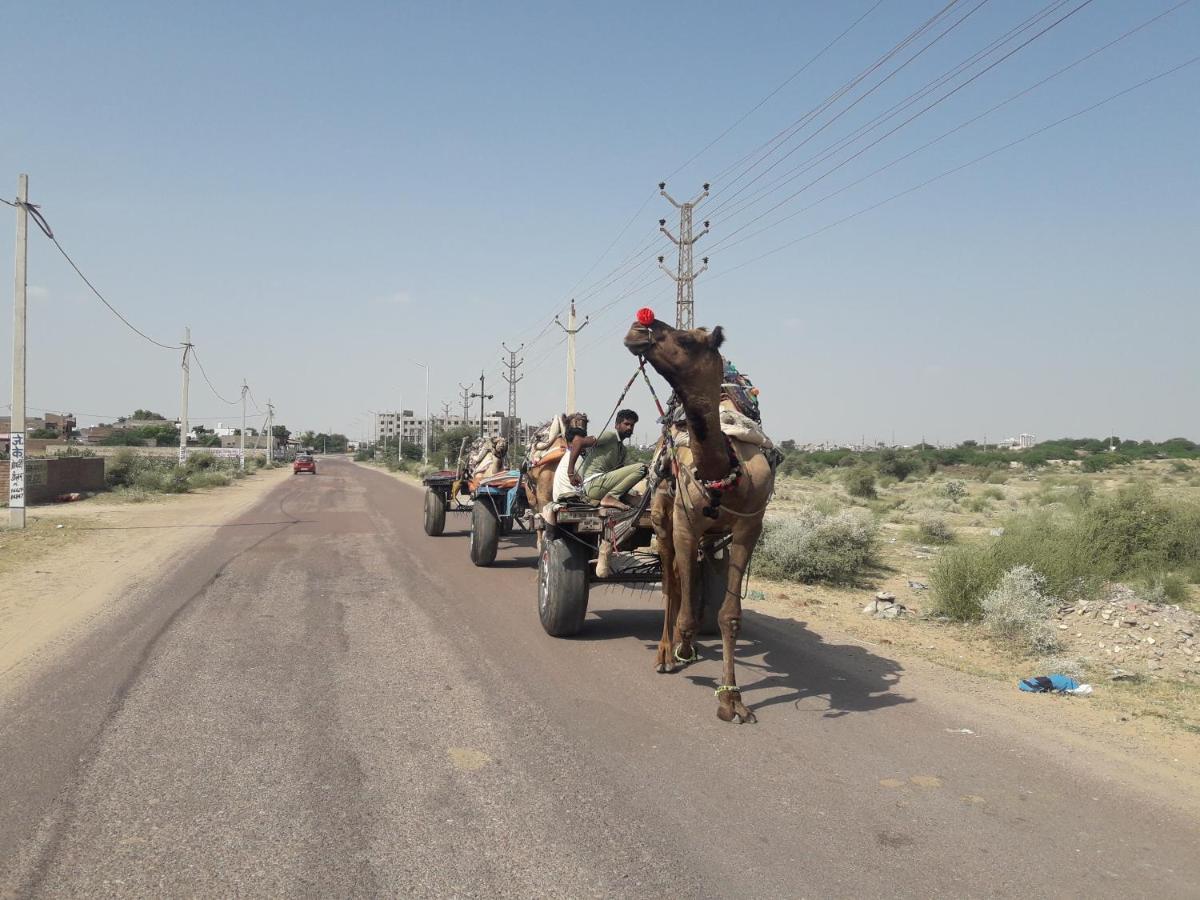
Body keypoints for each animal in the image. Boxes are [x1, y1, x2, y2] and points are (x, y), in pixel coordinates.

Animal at [624, 314, 772, 724]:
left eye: (687, 340)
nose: (638, 327)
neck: (726, 470)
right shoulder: (684, 523)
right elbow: (682, 599)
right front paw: (683, 648)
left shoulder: (749, 526)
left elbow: (729, 615)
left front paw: (731, 699)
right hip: (662, 515)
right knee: (672, 581)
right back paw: (665, 652)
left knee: (680, 579)